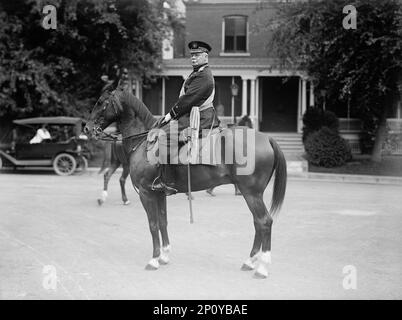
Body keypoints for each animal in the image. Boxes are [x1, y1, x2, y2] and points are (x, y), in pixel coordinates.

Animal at [84, 87, 286, 278]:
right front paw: (164, 255)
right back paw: (250, 261)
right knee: (258, 223)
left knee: (264, 221)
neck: (144, 142)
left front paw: (154, 259)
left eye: (101, 102)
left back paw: (262, 268)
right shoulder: (158, 193)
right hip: (252, 194)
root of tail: (266, 138)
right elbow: (163, 221)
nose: (87, 128)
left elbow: (153, 224)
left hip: (251, 193)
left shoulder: (146, 193)